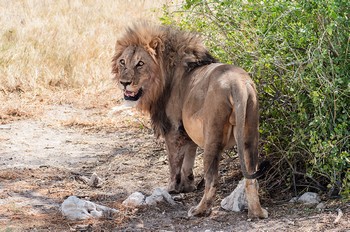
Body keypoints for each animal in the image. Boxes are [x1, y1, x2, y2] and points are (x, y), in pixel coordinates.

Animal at [112, 22, 268, 218]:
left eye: (140, 63)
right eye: (122, 62)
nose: (124, 82)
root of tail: (237, 84)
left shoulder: (173, 129)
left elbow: (174, 162)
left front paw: (172, 188)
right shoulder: (187, 130)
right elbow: (189, 159)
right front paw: (188, 185)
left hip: (212, 137)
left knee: (212, 179)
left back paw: (200, 210)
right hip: (250, 134)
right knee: (251, 178)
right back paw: (257, 212)